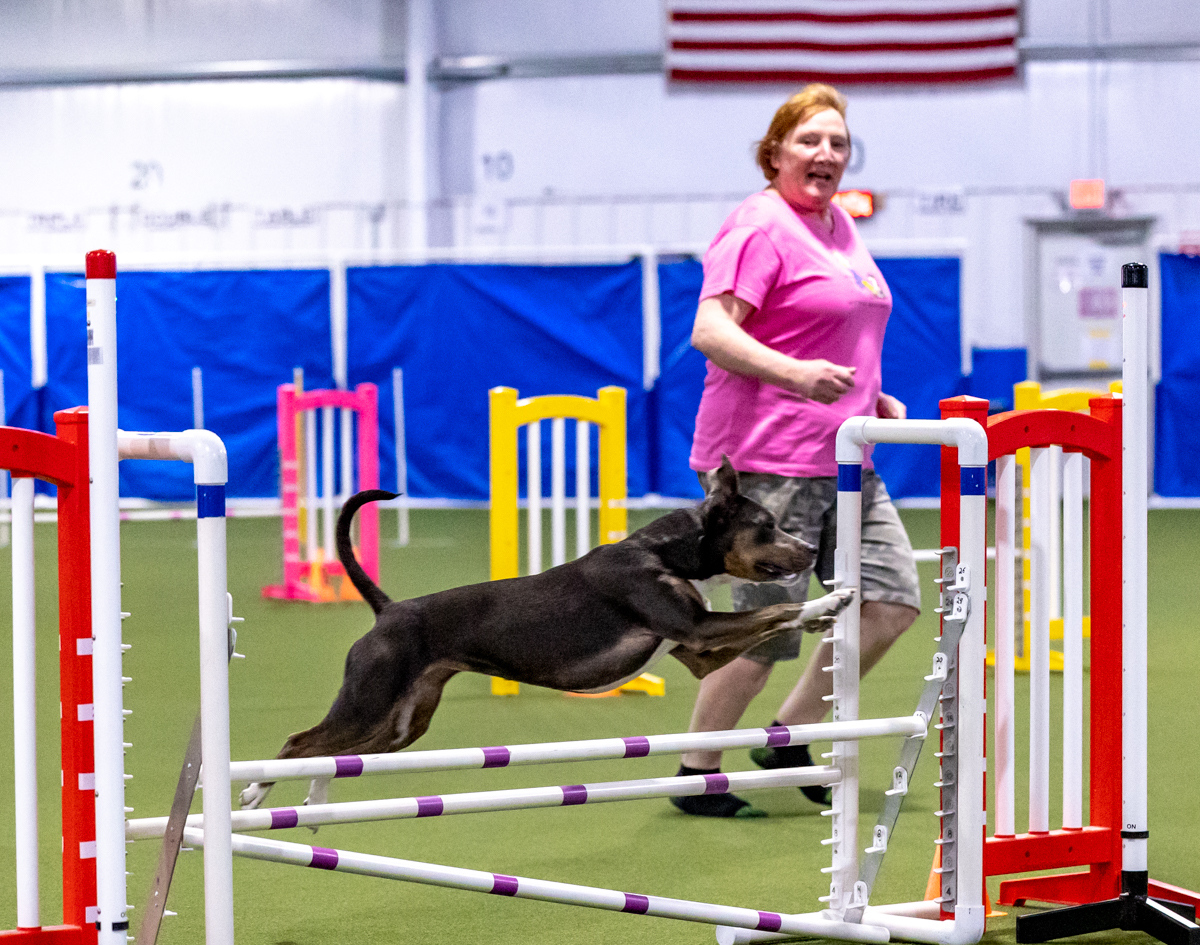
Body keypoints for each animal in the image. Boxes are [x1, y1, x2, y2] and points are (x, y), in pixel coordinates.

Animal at [240, 457, 853, 810]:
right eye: (767, 526)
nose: (809, 550)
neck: (663, 555)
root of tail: (387, 612)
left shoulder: (696, 651)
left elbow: (767, 624)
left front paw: (821, 614)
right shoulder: (698, 630)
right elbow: (775, 613)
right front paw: (829, 599)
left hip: (400, 725)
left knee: (333, 752)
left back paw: (318, 792)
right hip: (369, 699)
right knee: (298, 742)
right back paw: (253, 789)